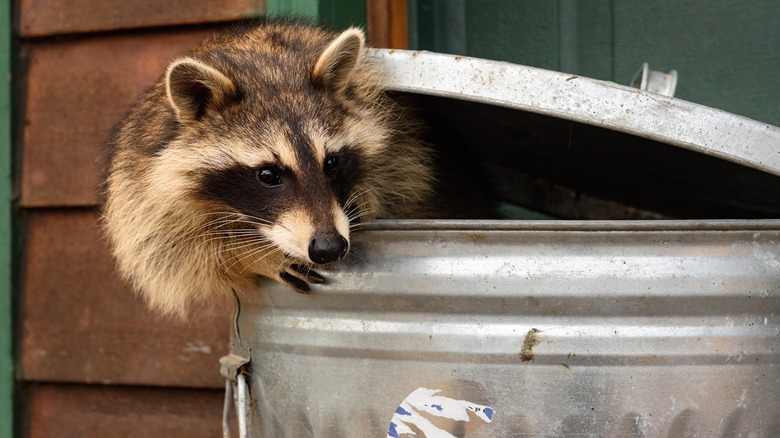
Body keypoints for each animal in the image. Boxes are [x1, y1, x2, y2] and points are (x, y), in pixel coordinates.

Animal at [103, 21, 440, 316]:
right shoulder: (141, 178)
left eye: (331, 163)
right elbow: (167, 249)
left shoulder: (402, 147)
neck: (266, 67)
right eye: (268, 175)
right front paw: (247, 254)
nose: (329, 247)